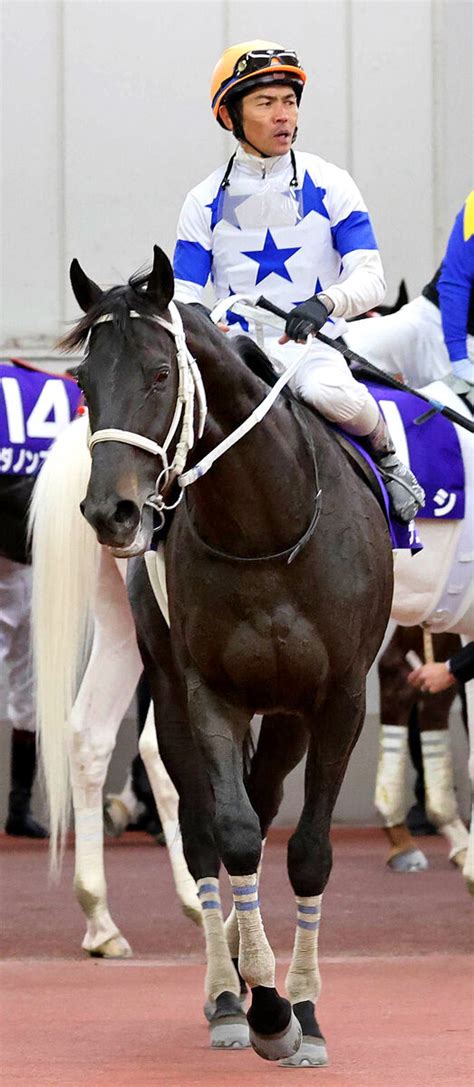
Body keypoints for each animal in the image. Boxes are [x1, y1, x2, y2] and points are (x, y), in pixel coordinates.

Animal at [59, 248, 393, 1069]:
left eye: (158, 372)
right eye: (83, 380)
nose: (111, 511)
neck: (265, 529)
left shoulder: (337, 699)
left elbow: (308, 850)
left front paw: (303, 1008)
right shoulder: (207, 689)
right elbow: (233, 833)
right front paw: (266, 1007)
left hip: (288, 715)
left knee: (266, 798)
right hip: (166, 678)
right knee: (206, 824)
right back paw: (226, 990)